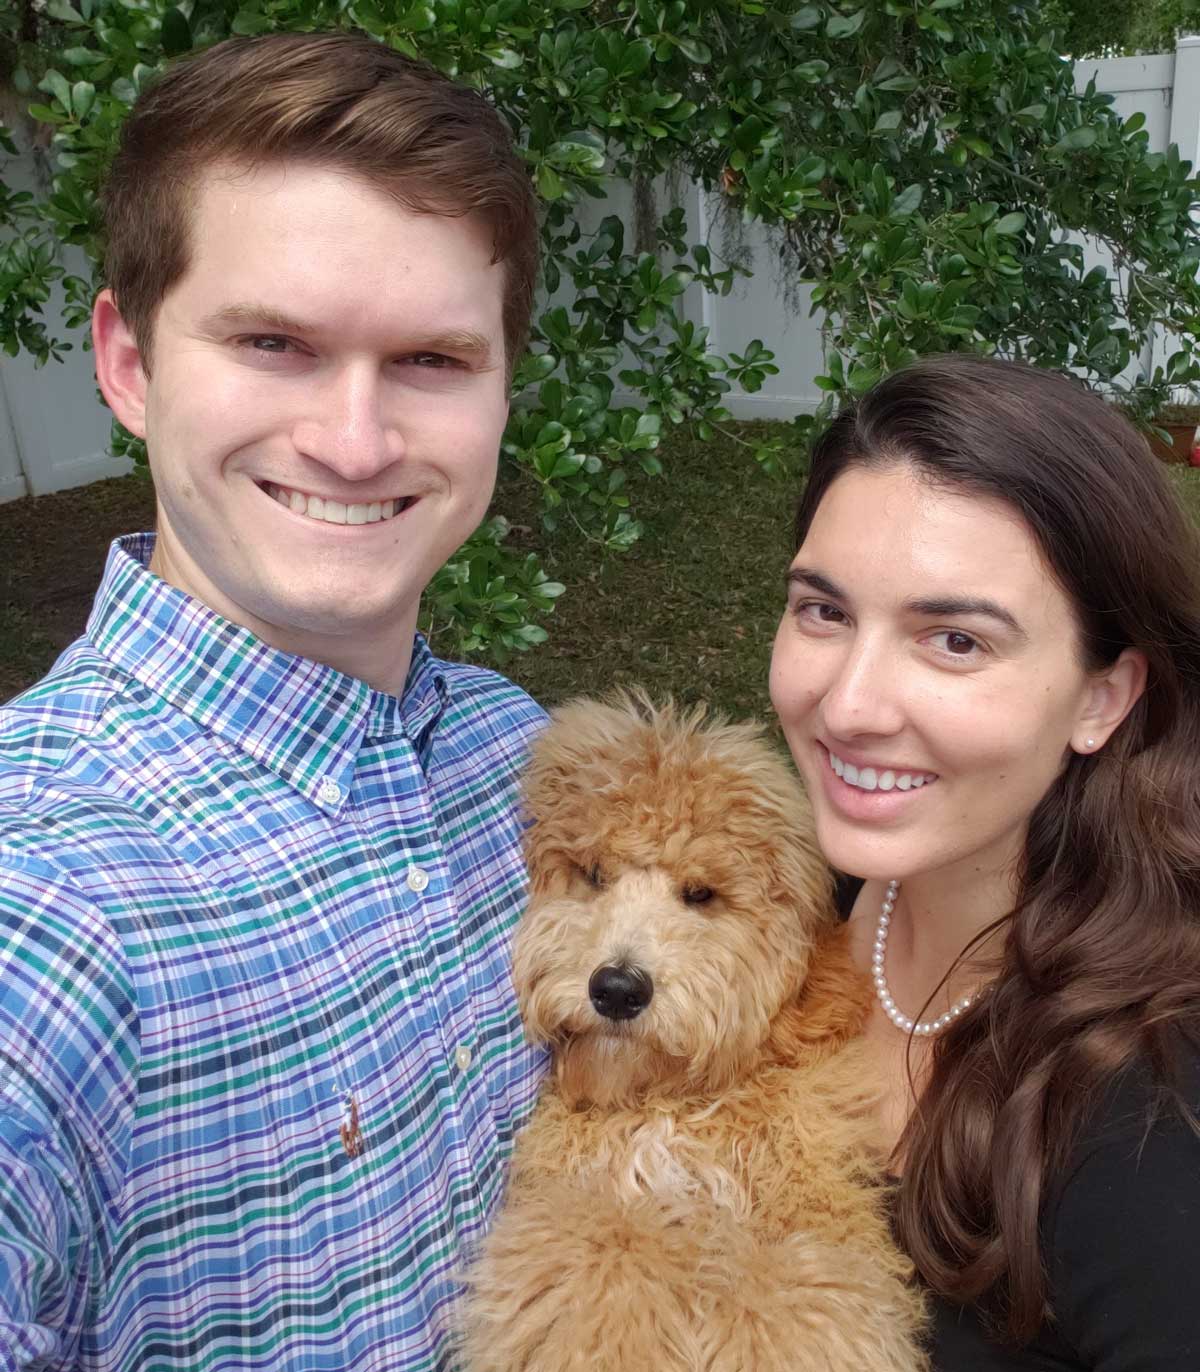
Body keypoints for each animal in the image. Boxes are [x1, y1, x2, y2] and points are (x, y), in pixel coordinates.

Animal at [463, 696, 927, 1372]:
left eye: (700, 893)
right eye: (593, 874)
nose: (617, 990)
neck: (669, 1108)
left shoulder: (812, 1204)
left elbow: (801, 1302)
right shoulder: (569, 1205)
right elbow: (603, 1261)